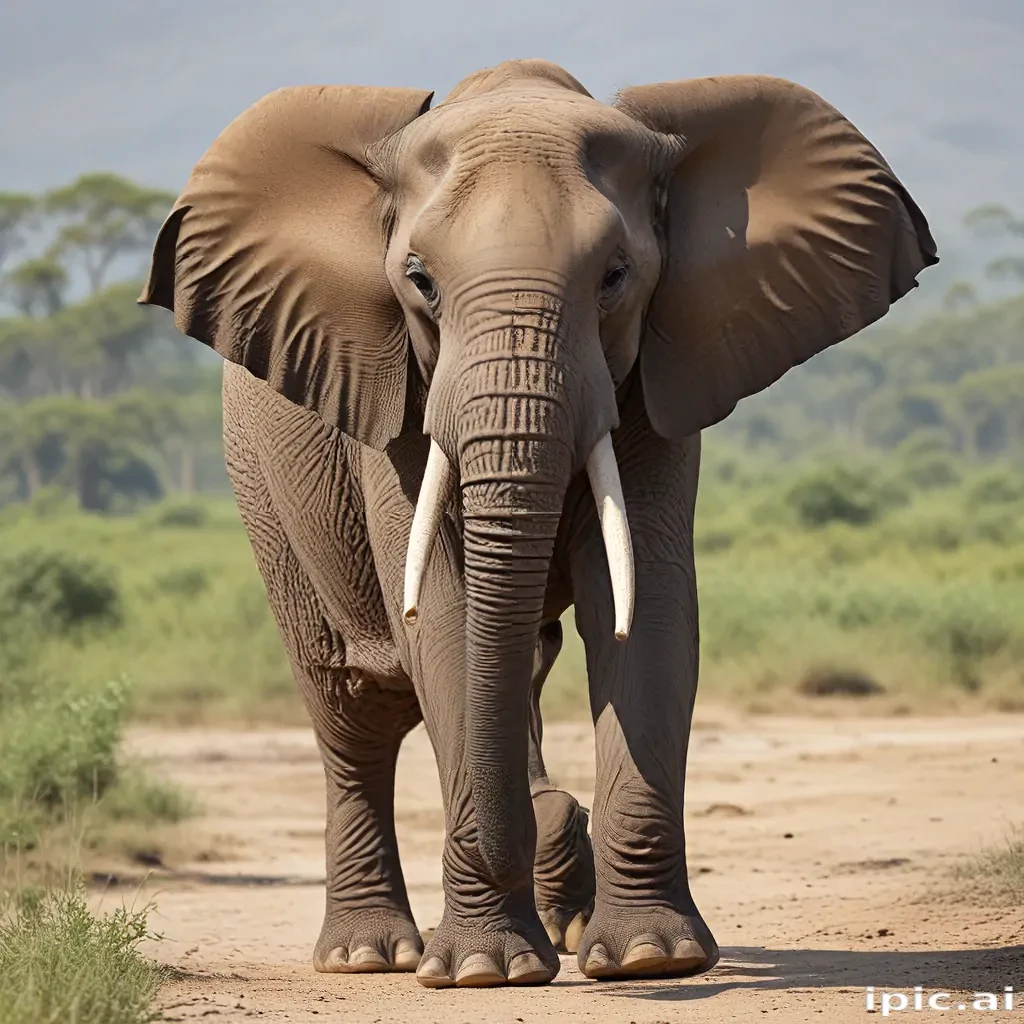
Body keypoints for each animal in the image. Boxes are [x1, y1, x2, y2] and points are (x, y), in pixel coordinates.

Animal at [141, 59, 936, 989]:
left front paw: (646, 958)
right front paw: (485, 970)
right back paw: (367, 955)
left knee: (517, 662)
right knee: (351, 709)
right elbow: (445, 620)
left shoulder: (660, 374)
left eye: (616, 276)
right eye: (419, 280)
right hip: (264, 492)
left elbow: (646, 608)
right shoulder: (399, 396)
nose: (529, 832)